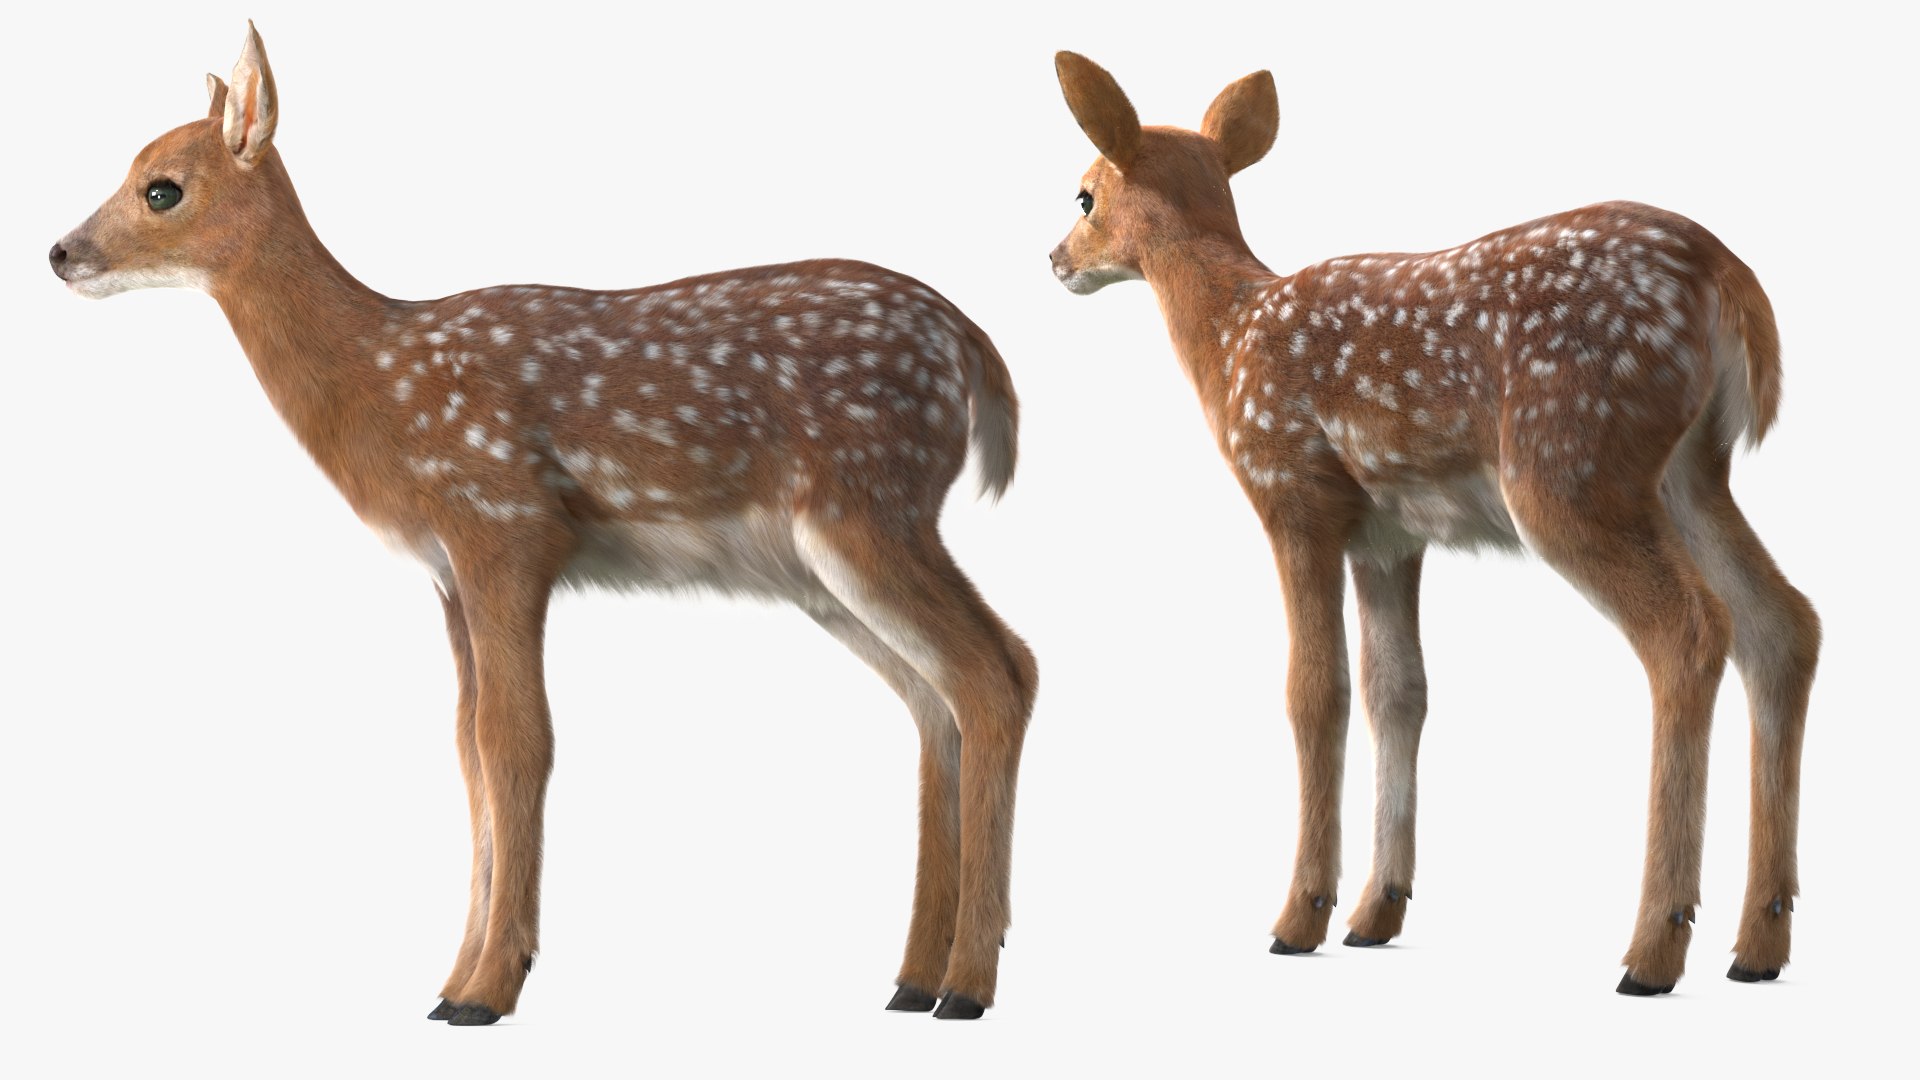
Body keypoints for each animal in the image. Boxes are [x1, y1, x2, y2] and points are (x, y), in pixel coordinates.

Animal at [49, 23, 1037, 1024]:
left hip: (868, 503)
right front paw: (452, 980)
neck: (381, 381)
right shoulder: (448, 572)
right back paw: (914, 978)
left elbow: (517, 741)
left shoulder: (504, 524)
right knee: (940, 694)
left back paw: (967, 983)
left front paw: (489, 990)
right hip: (823, 566)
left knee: (996, 672)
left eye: (161, 187)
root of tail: (972, 346)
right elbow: (466, 744)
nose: (59, 252)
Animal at [1048, 52, 1818, 995]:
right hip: (1689, 472)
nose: (1053, 258)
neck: (1232, 334)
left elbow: (1317, 692)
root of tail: (1727, 277)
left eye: (1084, 194)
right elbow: (1399, 691)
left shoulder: (1291, 492)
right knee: (1782, 624)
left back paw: (1652, 948)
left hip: (1570, 467)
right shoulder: (1389, 535)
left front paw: (1299, 917)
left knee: (1691, 629)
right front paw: (1375, 911)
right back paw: (1759, 944)